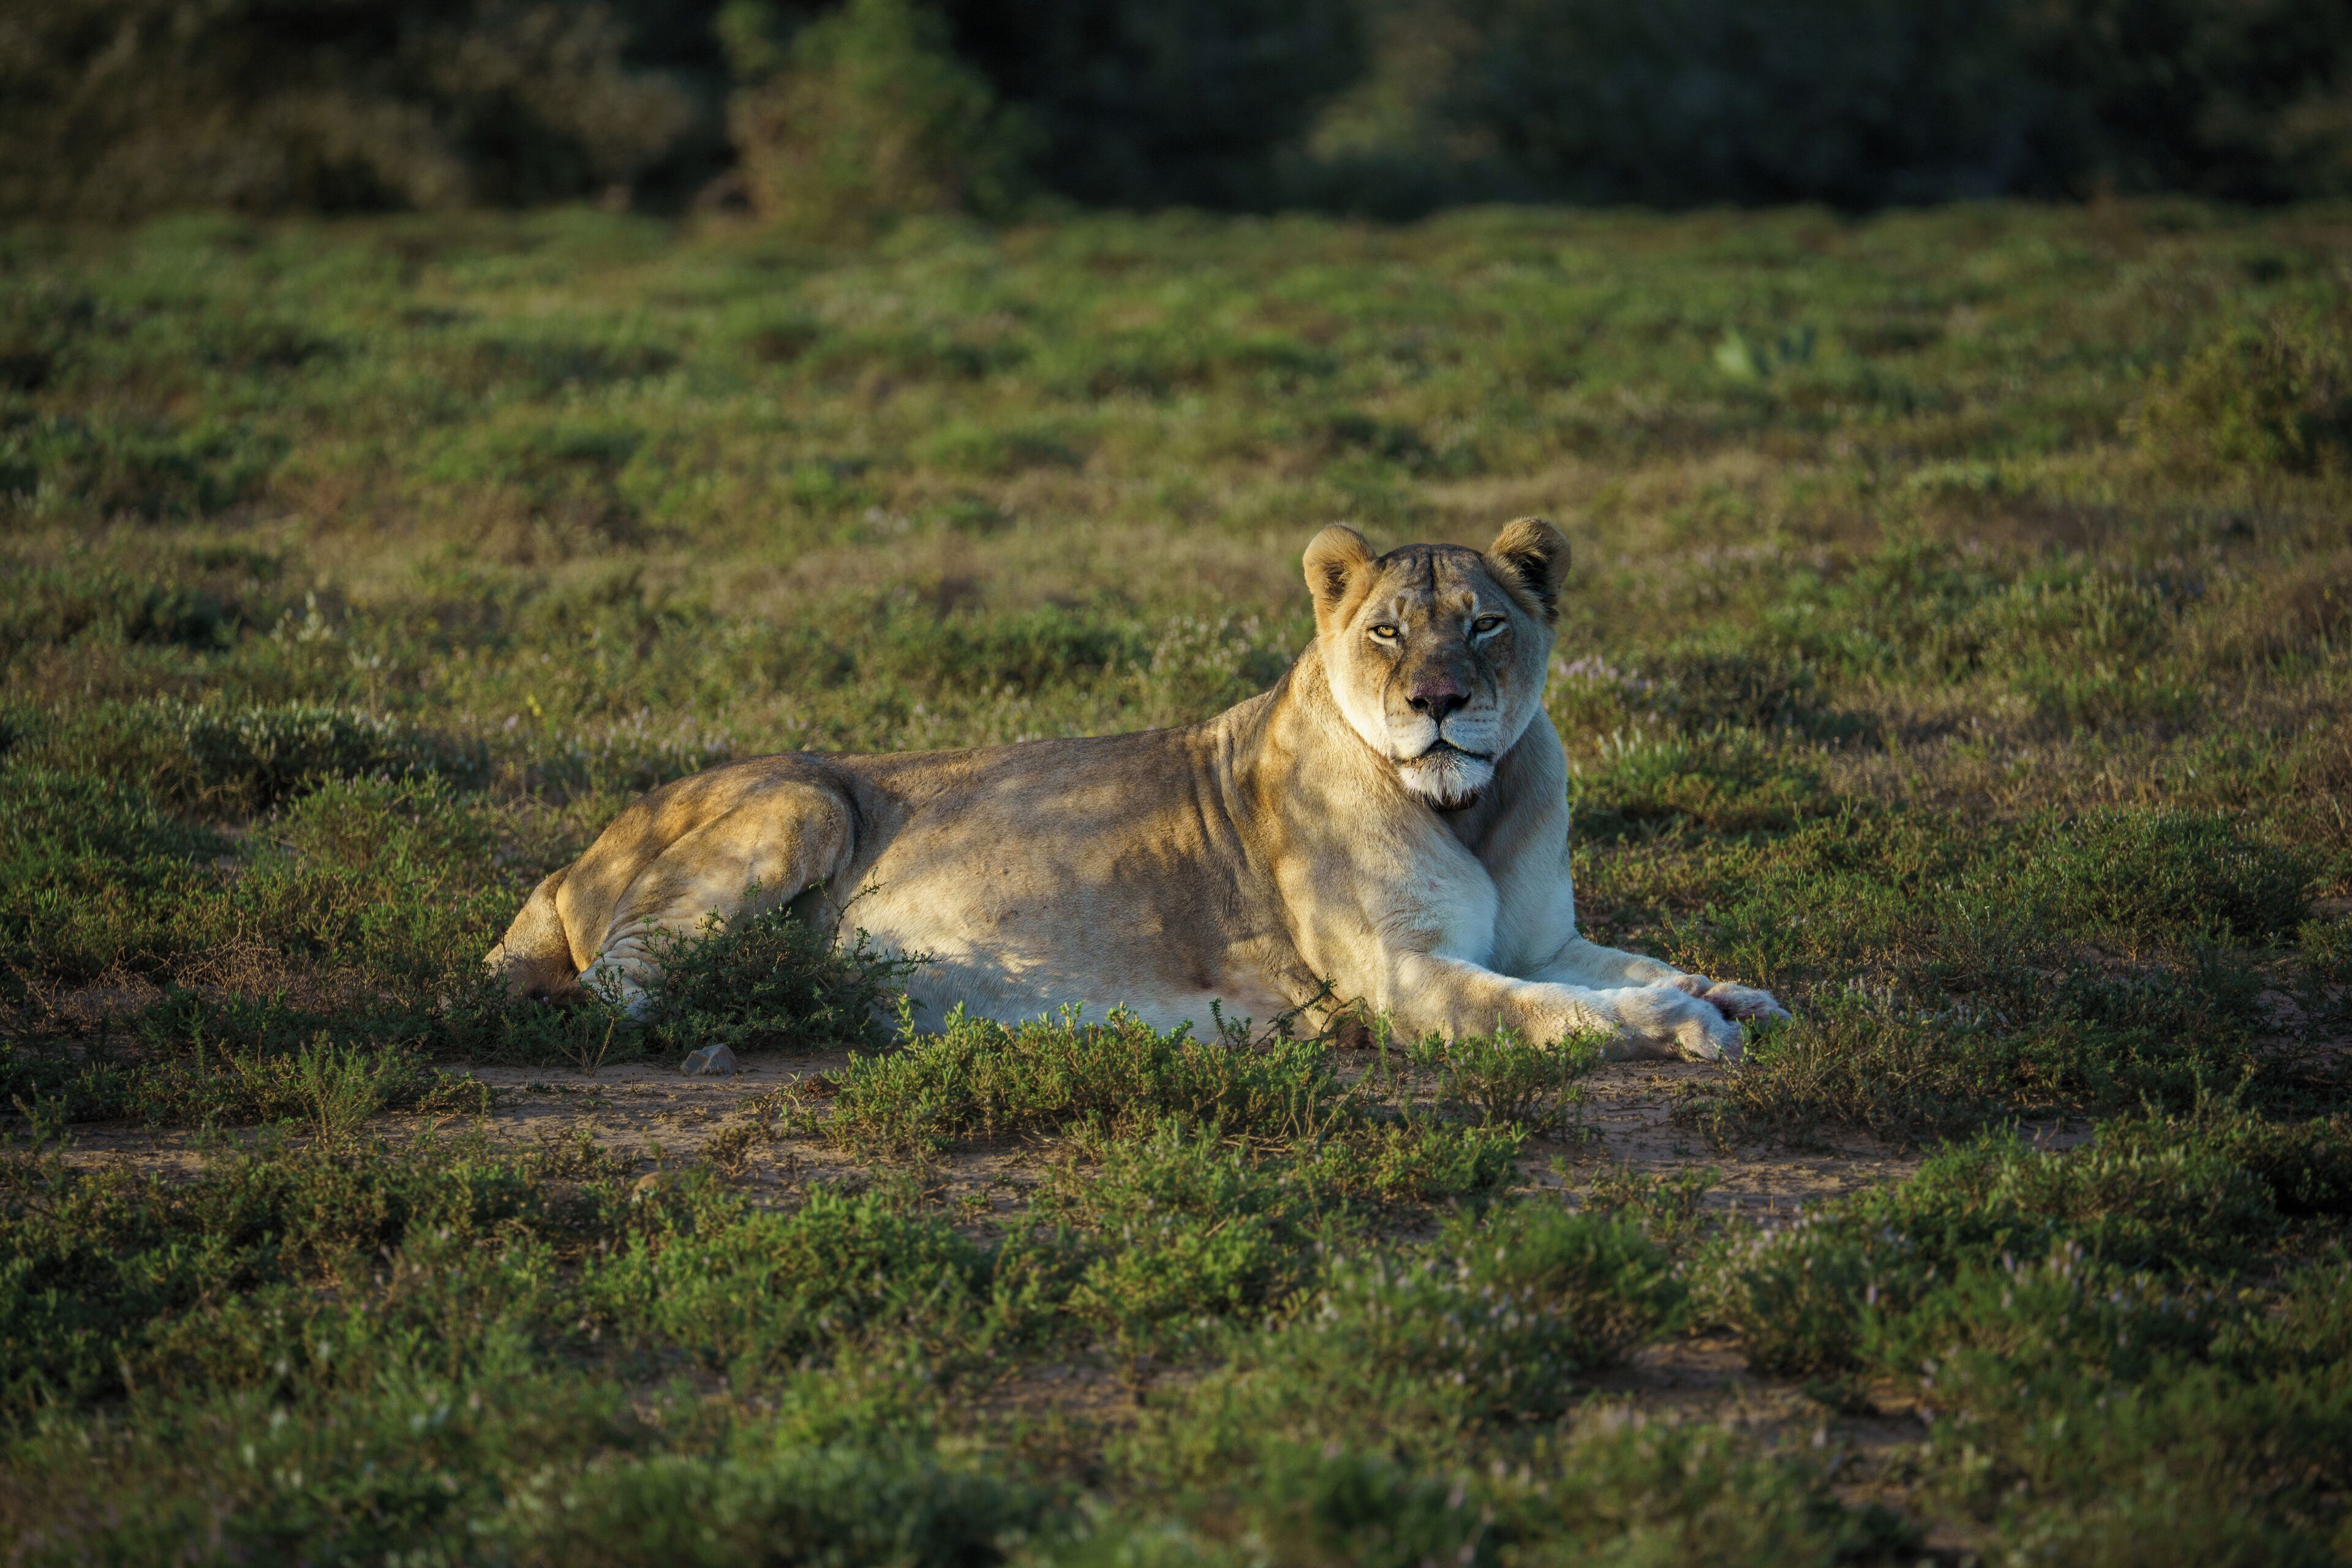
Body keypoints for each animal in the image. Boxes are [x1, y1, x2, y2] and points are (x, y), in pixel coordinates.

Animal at [485, 519, 1787, 1059]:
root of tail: (568, 860)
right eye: (1387, 632)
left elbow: (1628, 961)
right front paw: (1689, 1027)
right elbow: (1562, 1013)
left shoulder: (1540, 938)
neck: (1473, 805)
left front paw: (1734, 992)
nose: (1438, 702)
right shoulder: (1403, 981)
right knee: (619, 986)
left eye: (1483, 626)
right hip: (803, 802)